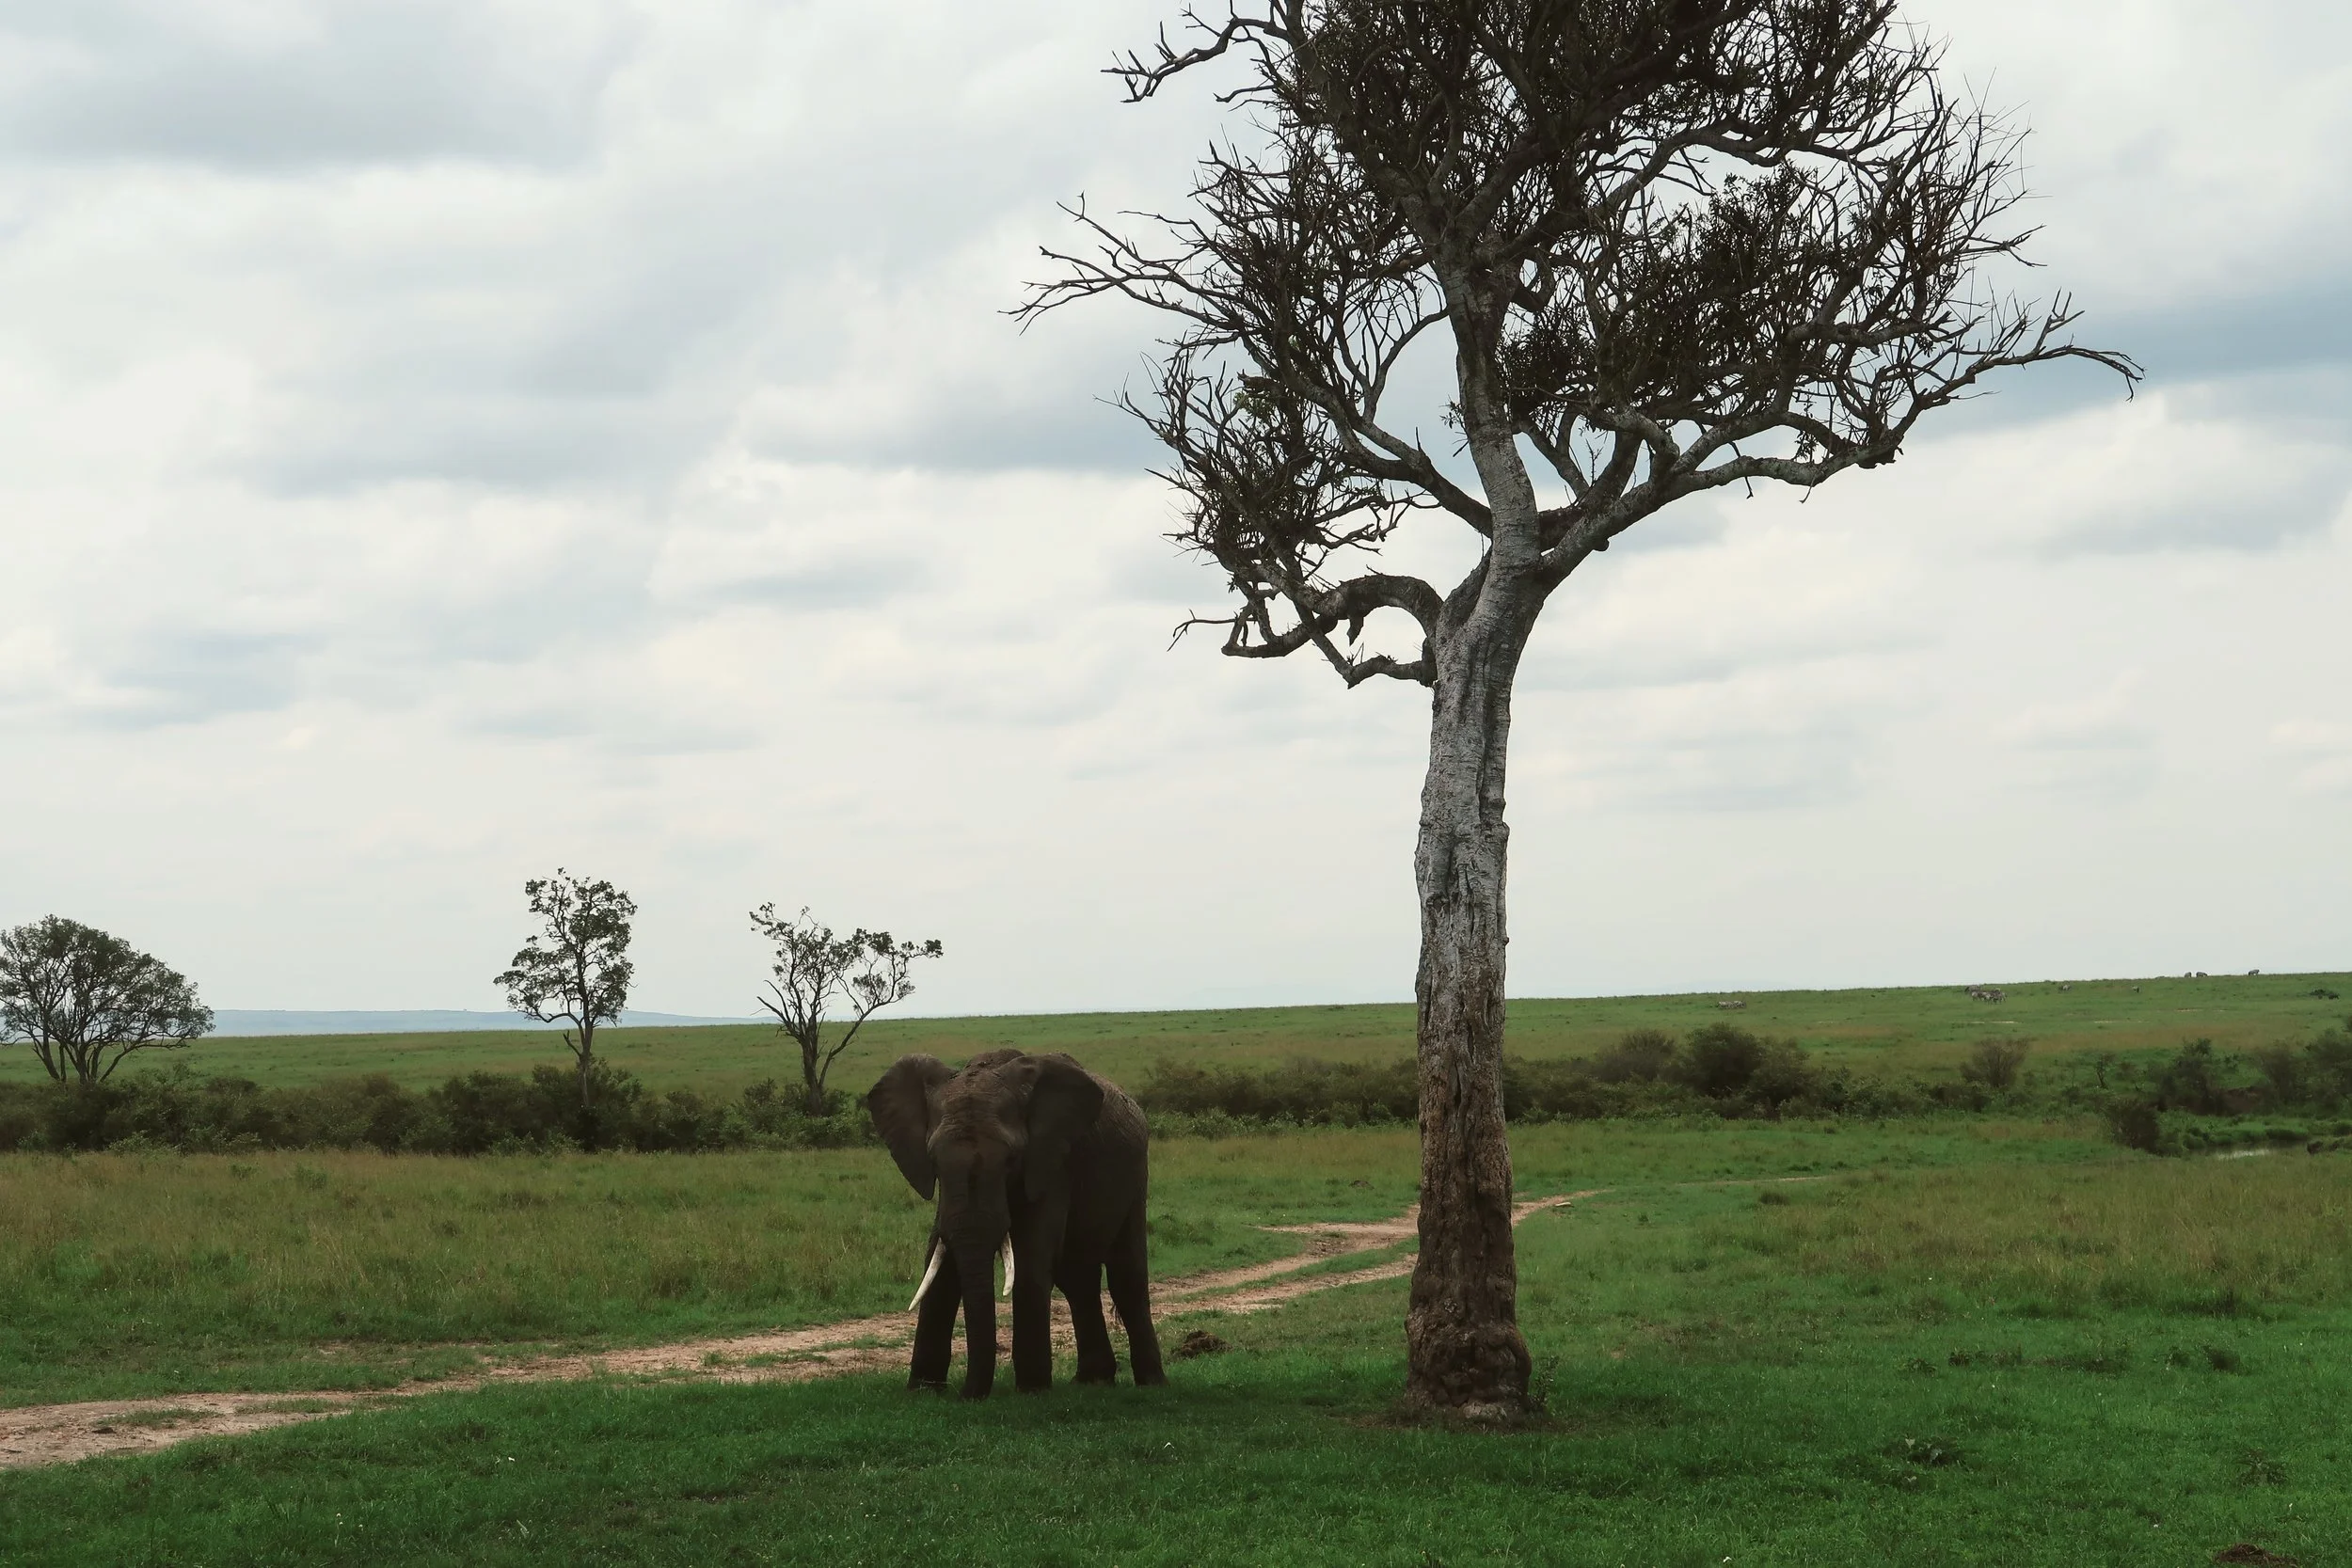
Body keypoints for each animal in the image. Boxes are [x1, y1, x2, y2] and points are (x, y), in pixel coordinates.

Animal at [867, 1048, 1166, 1398]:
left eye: (1011, 1160)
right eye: (934, 1161)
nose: (966, 1395)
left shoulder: (1051, 1164)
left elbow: (1031, 1261)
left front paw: (1033, 1389)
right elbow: (938, 1265)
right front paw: (923, 1389)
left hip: (1134, 1176)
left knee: (1126, 1276)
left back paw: (1151, 1383)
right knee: (1078, 1280)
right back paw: (1092, 1380)